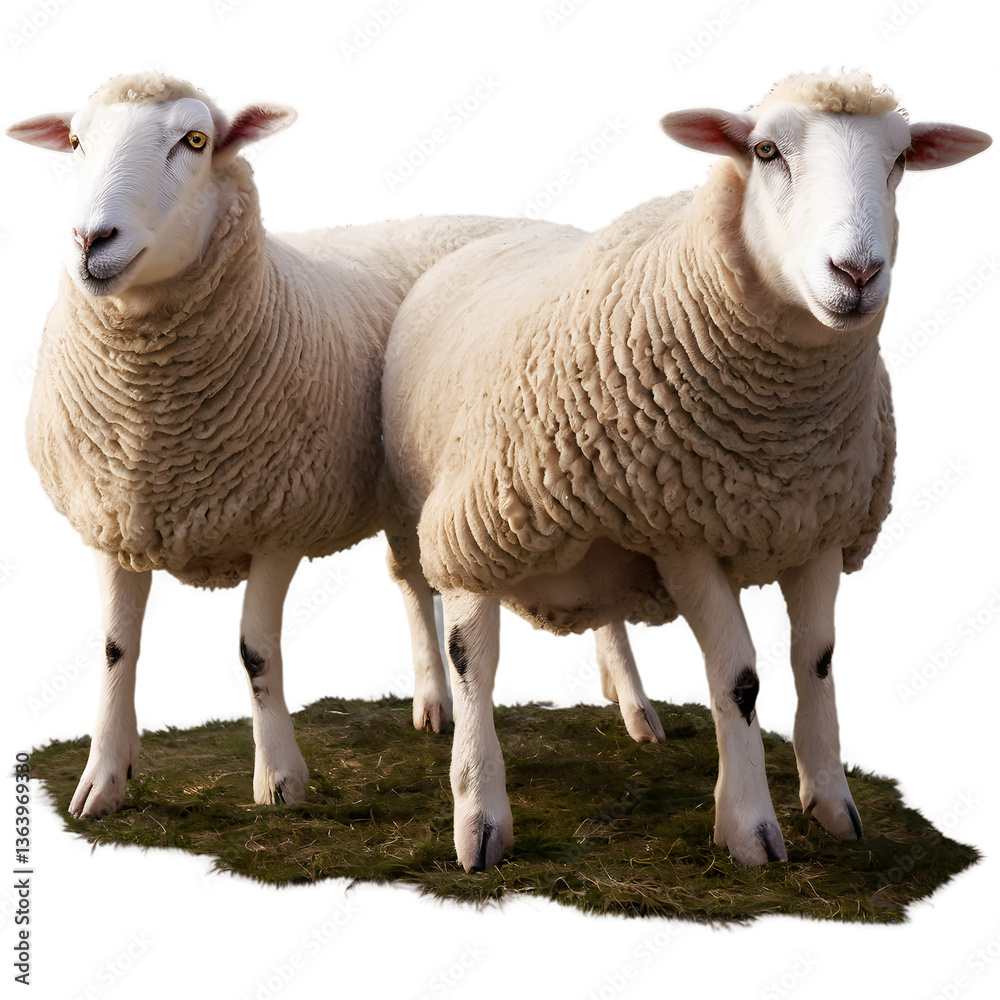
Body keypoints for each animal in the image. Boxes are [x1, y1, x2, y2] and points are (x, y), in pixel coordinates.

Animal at [7, 71, 662, 819]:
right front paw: (104, 779)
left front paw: (279, 779)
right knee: (415, 579)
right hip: (414, 485)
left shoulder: (279, 521)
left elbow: (255, 651)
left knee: (601, 603)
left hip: (569, 458)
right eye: (75, 141)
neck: (156, 425)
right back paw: (436, 702)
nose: (91, 238)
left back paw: (635, 708)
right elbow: (118, 648)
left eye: (195, 140)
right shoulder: (113, 518)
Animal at [381, 70, 991, 869]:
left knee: (601, 615)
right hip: (453, 506)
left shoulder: (819, 524)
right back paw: (465, 777)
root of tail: (490, 231)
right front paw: (751, 829)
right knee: (452, 630)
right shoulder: (683, 534)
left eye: (899, 160)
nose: (856, 272)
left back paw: (635, 708)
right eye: (765, 151)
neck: (778, 434)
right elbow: (739, 676)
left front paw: (832, 804)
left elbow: (817, 659)